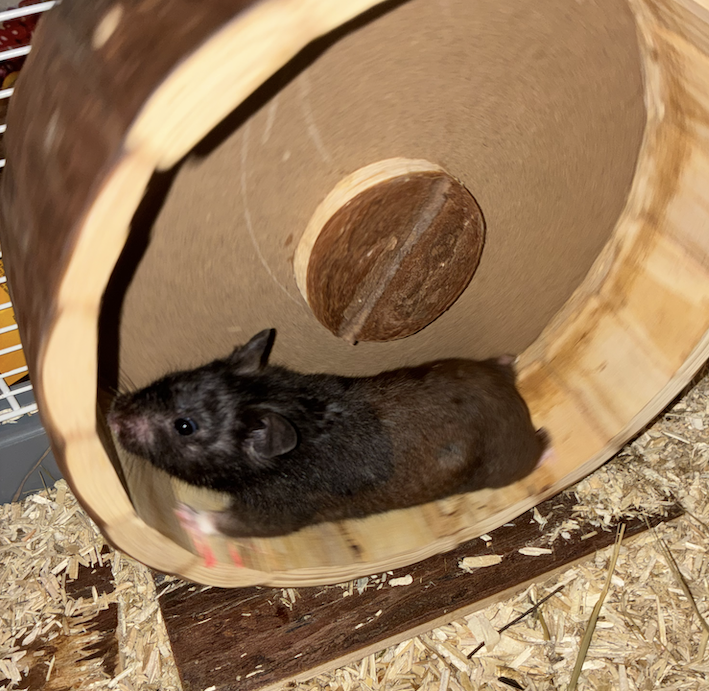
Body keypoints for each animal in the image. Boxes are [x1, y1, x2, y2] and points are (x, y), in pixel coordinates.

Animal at [107, 329, 552, 539]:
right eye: (174, 378)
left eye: (185, 427)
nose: (111, 415)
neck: (287, 403)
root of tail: (513, 397)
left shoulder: (280, 505)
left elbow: (240, 523)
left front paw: (187, 516)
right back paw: (507, 357)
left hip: (506, 463)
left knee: (538, 450)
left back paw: (547, 448)